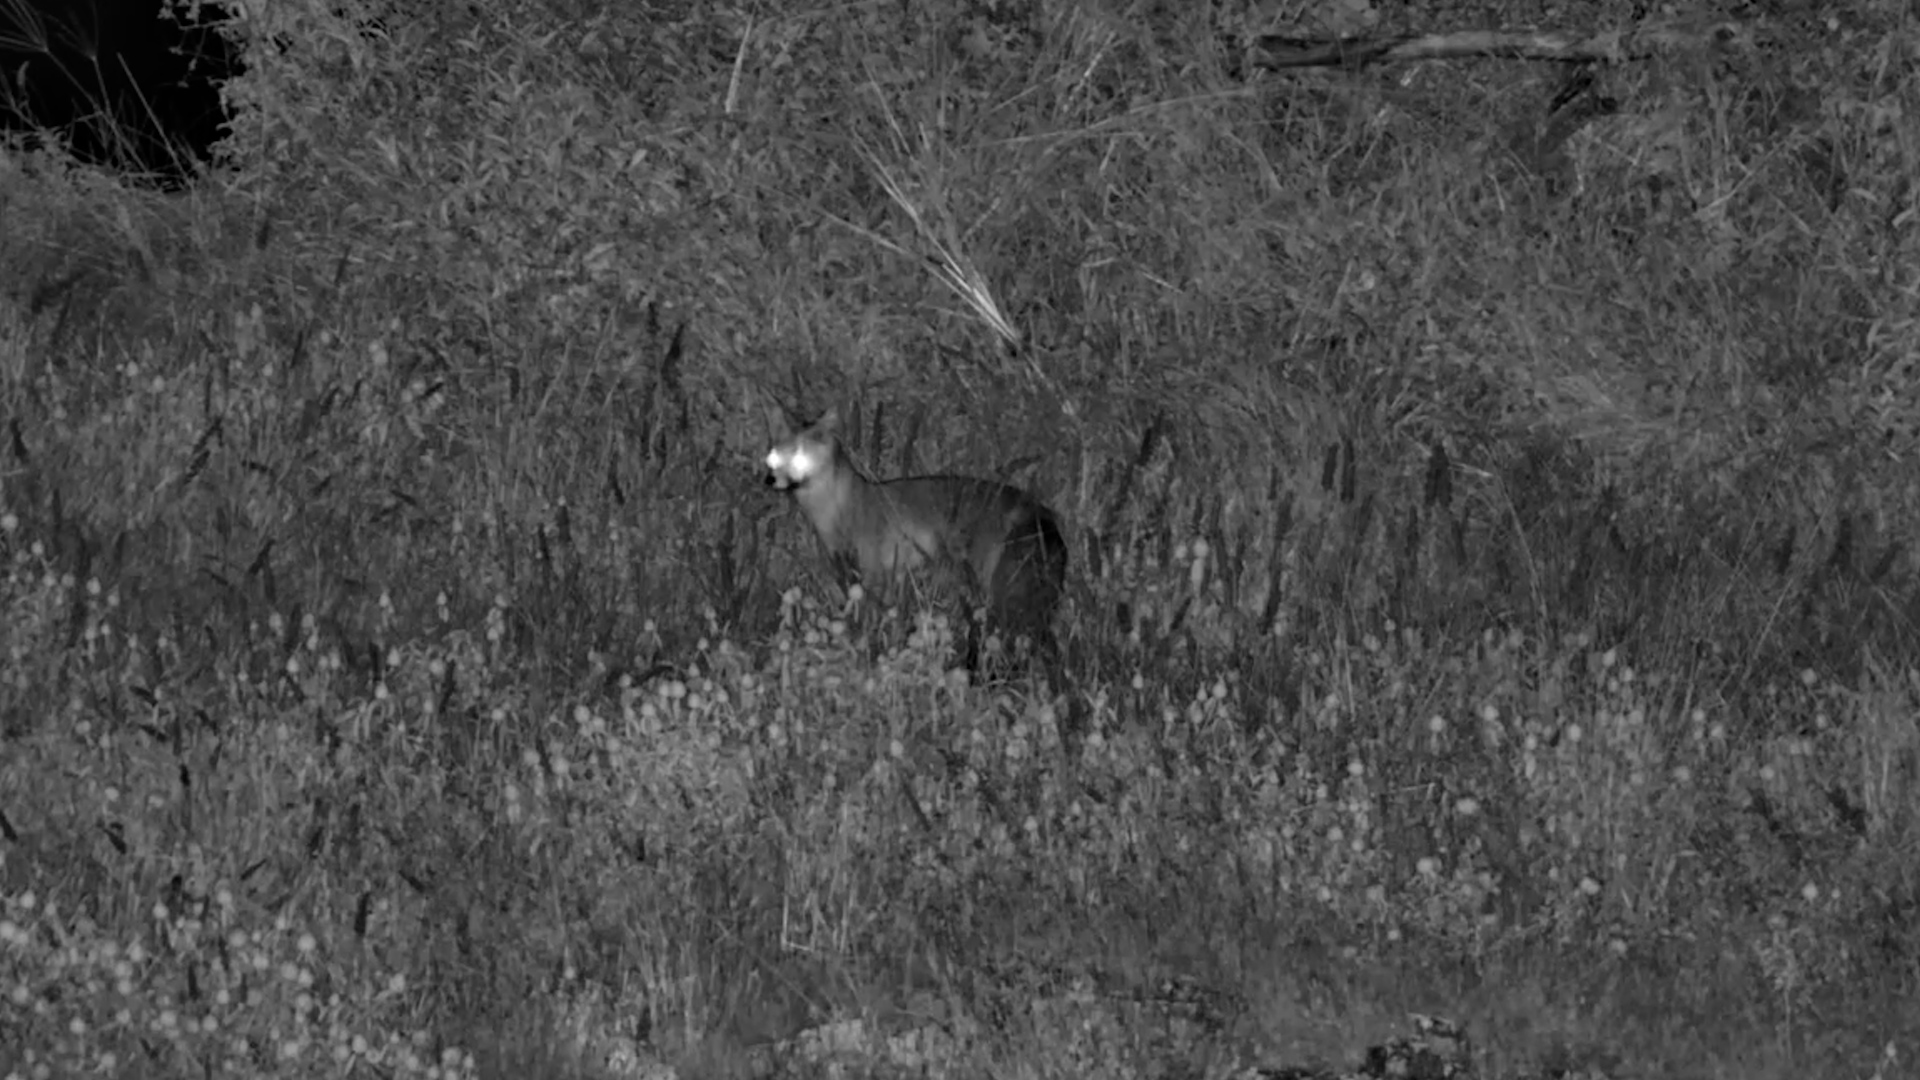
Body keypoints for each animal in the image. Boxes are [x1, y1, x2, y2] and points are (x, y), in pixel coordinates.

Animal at [764, 407, 1068, 671]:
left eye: (799, 458)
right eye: (773, 458)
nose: (770, 480)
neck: (839, 510)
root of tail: (1041, 512)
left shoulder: (874, 572)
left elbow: (869, 615)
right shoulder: (863, 569)